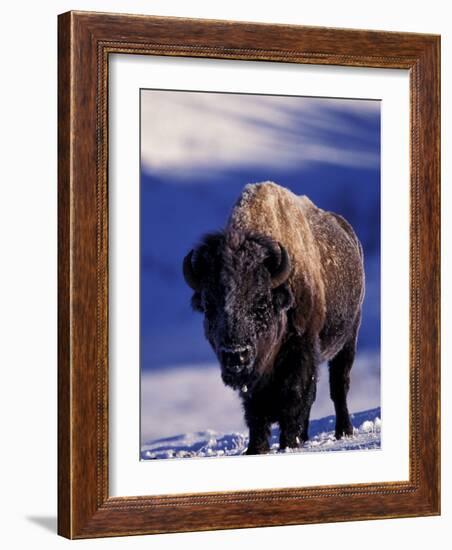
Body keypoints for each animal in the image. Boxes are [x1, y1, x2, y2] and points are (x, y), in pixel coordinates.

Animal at [182, 182, 366, 458]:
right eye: (208, 307)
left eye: (261, 303)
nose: (235, 355)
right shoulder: (256, 377)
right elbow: (256, 410)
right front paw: (255, 448)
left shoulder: (301, 352)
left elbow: (294, 397)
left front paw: (289, 442)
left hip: (348, 338)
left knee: (338, 386)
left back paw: (343, 431)